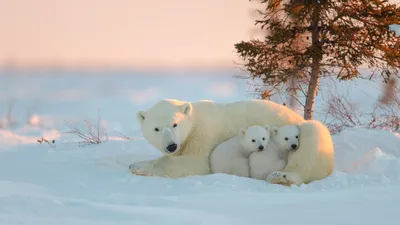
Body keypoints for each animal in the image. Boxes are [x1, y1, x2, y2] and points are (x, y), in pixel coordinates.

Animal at [129, 99, 334, 186]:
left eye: (175, 124)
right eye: (156, 129)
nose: (171, 145)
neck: (194, 118)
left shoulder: (204, 133)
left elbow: (197, 163)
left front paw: (138, 165)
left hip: (302, 133)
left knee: (312, 136)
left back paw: (281, 176)